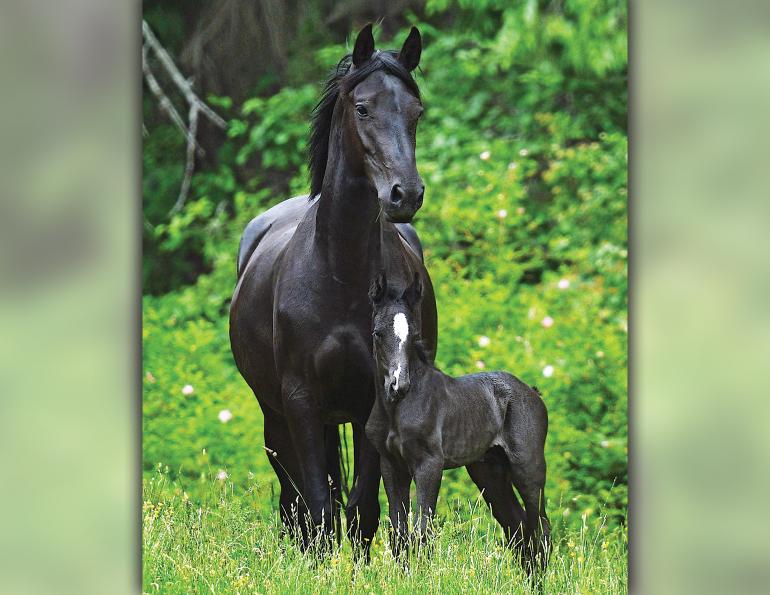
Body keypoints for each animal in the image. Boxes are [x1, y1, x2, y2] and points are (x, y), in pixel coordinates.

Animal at [365, 271, 552, 570]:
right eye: (377, 333)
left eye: (414, 335)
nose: (398, 385)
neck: (395, 411)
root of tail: (533, 393)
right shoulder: (391, 465)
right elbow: (399, 533)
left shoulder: (430, 464)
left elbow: (423, 530)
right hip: (489, 473)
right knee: (518, 526)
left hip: (528, 468)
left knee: (541, 528)